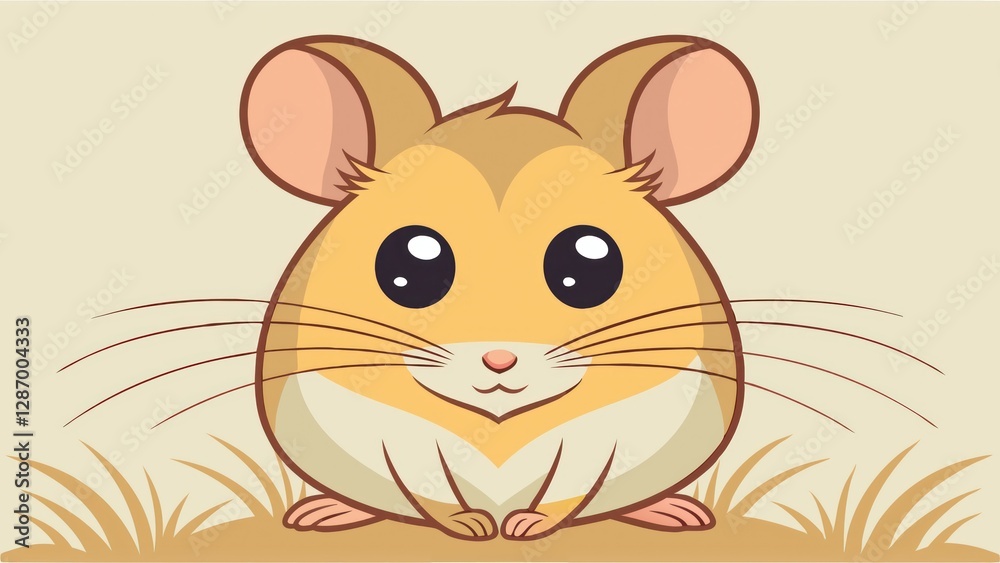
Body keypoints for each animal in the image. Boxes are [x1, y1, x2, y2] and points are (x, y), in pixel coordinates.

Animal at [242, 35, 758, 540]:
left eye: (589, 264)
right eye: (408, 265)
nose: (499, 359)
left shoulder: (602, 436)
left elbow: (573, 482)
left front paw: (528, 526)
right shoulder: (397, 436)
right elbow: (424, 482)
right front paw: (469, 526)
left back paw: (672, 511)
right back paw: (326, 512)